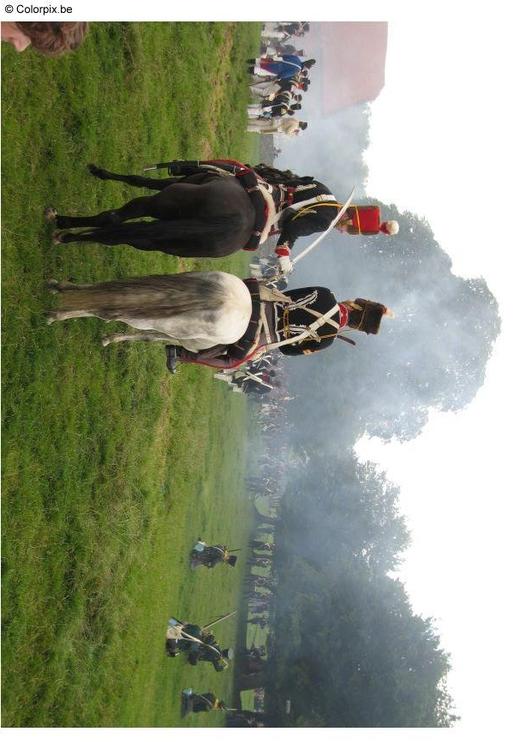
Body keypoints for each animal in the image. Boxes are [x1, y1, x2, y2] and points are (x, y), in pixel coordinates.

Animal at [47, 164, 256, 258]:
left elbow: (137, 179)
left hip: (156, 204)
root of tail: (234, 222)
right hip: (157, 242)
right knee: (115, 232)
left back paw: (62, 228)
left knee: (112, 218)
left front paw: (100, 172)